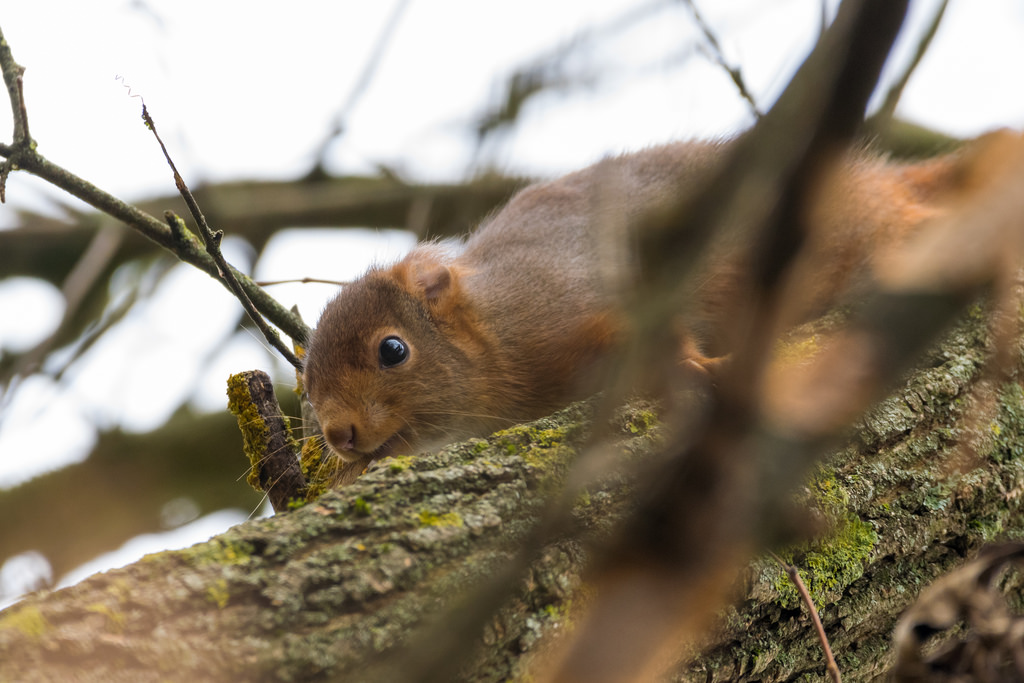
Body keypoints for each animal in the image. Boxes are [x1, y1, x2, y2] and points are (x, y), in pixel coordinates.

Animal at [299, 139, 954, 471]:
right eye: (305, 379)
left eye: (392, 350)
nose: (339, 434)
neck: (493, 329)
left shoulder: (567, 304)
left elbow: (655, 333)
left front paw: (691, 367)